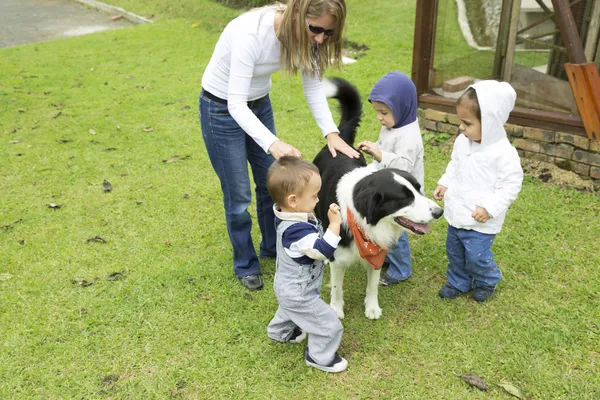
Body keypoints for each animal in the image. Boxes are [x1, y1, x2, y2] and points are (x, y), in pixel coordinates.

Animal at [312, 78, 442, 320]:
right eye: (404, 198)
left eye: (419, 190)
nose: (439, 212)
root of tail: (339, 140)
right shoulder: (339, 258)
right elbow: (336, 287)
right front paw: (336, 309)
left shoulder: (376, 253)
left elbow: (372, 284)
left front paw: (371, 307)